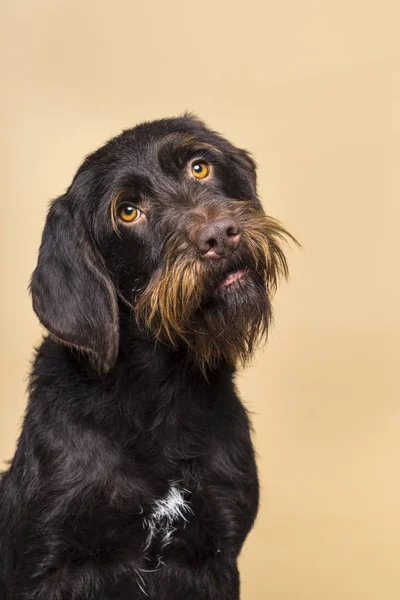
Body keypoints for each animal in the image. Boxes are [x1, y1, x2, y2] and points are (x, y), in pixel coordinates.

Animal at [0, 115, 294, 596]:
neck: (160, 391)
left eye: (199, 167)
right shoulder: (46, 566)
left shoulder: (215, 556)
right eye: (127, 212)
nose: (219, 235)